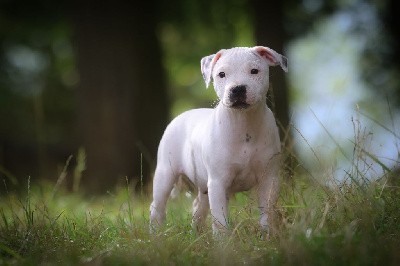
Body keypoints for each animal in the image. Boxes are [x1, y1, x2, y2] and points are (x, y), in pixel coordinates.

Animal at [150, 46, 288, 234]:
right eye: (221, 74)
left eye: (254, 71)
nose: (238, 89)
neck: (243, 123)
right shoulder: (218, 182)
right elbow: (220, 220)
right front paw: (223, 241)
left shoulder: (269, 179)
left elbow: (267, 212)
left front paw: (268, 234)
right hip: (165, 174)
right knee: (157, 206)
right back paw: (155, 234)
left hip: (203, 186)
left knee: (198, 205)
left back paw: (196, 233)